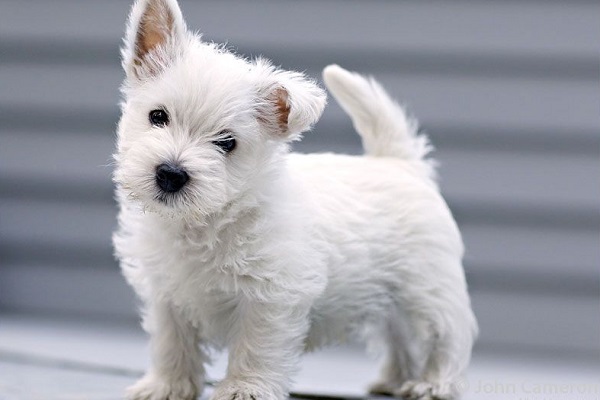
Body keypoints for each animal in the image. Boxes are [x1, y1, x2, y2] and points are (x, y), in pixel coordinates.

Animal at [112, 0, 478, 400]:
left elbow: (255, 347)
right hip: (391, 297)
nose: (171, 174)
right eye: (158, 116)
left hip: (426, 290)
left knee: (449, 335)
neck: (205, 222)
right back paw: (393, 380)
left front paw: (244, 389)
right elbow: (171, 344)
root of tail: (399, 163)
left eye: (227, 142)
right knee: (400, 337)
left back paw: (434, 383)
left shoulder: (270, 296)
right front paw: (165, 386)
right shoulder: (166, 295)